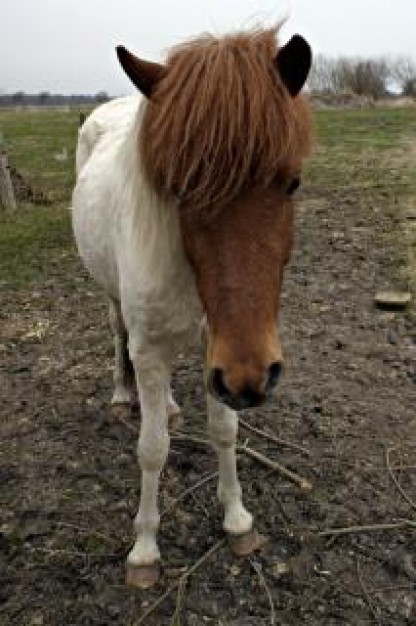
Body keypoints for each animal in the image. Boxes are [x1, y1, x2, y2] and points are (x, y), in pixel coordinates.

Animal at [71, 26, 312, 588]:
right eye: (179, 190)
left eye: (292, 183)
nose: (252, 379)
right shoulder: (156, 348)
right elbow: (151, 449)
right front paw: (144, 549)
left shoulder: (217, 350)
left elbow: (224, 431)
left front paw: (237, 520)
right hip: (116, 304)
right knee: (118, 337)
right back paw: (123, 395)